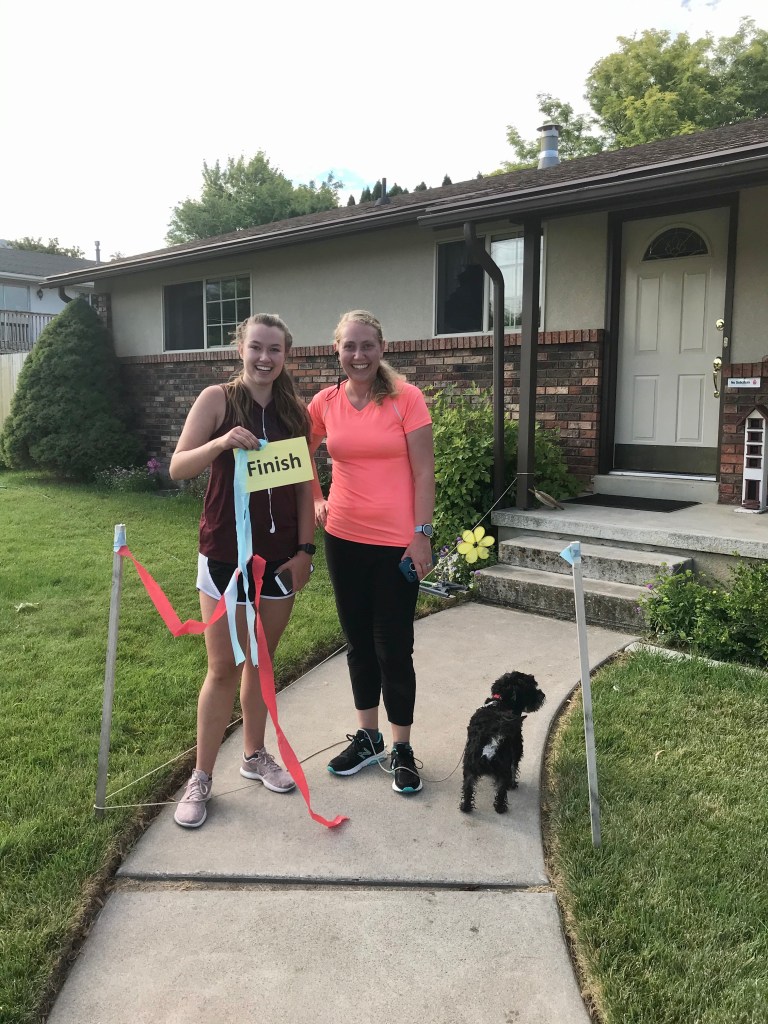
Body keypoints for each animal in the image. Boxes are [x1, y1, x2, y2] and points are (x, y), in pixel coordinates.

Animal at [459, 671, 546, 814]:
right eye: (532, 688)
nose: (543, 695)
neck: (499, 702)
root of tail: (491, 740)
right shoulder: (516, 748)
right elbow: (514, 768)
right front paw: (513, 784)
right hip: (504, 767)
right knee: (501, 791)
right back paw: (501, 808)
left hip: (469, 767)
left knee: (468, 788)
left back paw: (465, 807)